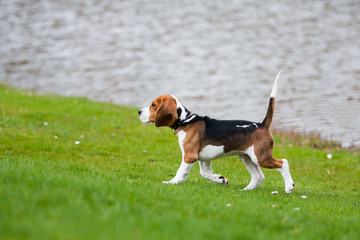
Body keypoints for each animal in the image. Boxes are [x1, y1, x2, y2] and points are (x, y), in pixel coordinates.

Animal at [139, 72, 296, 193]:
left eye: (153, 105)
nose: (139, 111)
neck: (185, 121)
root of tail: (262, 125)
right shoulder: (204, 159)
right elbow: (205, 173)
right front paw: (221, 179)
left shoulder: (189, 156)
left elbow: (181, 172)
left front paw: (172, 182)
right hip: (248, 157)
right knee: (259, 176)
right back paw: (245, 190)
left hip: (261, 157)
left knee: (283, 163)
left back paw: (289, 187)